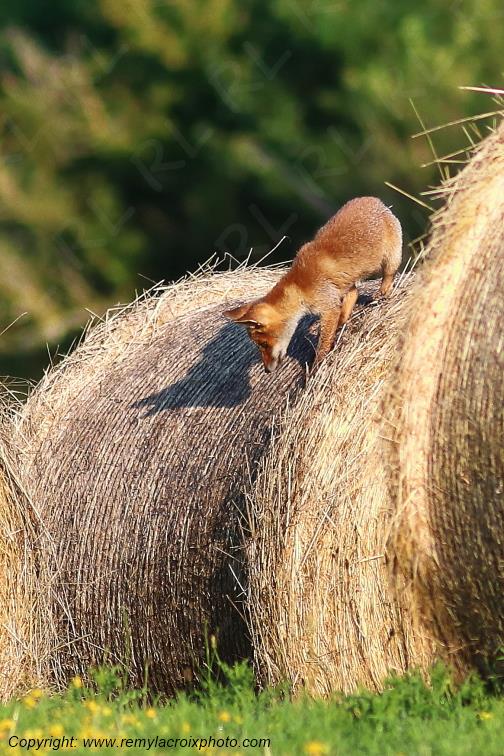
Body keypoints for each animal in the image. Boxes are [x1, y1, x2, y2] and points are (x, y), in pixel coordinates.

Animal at [224, 196, 402, 373]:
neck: (299, 287)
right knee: (354, 293)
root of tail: (374, 200)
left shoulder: (328, 306)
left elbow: (323, 343)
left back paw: (383, 293)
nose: (267, 370)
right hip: (347, 282)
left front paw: (317, 366)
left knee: (388, 276)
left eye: (263, 344)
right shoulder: (335, 295)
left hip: (391, 258)